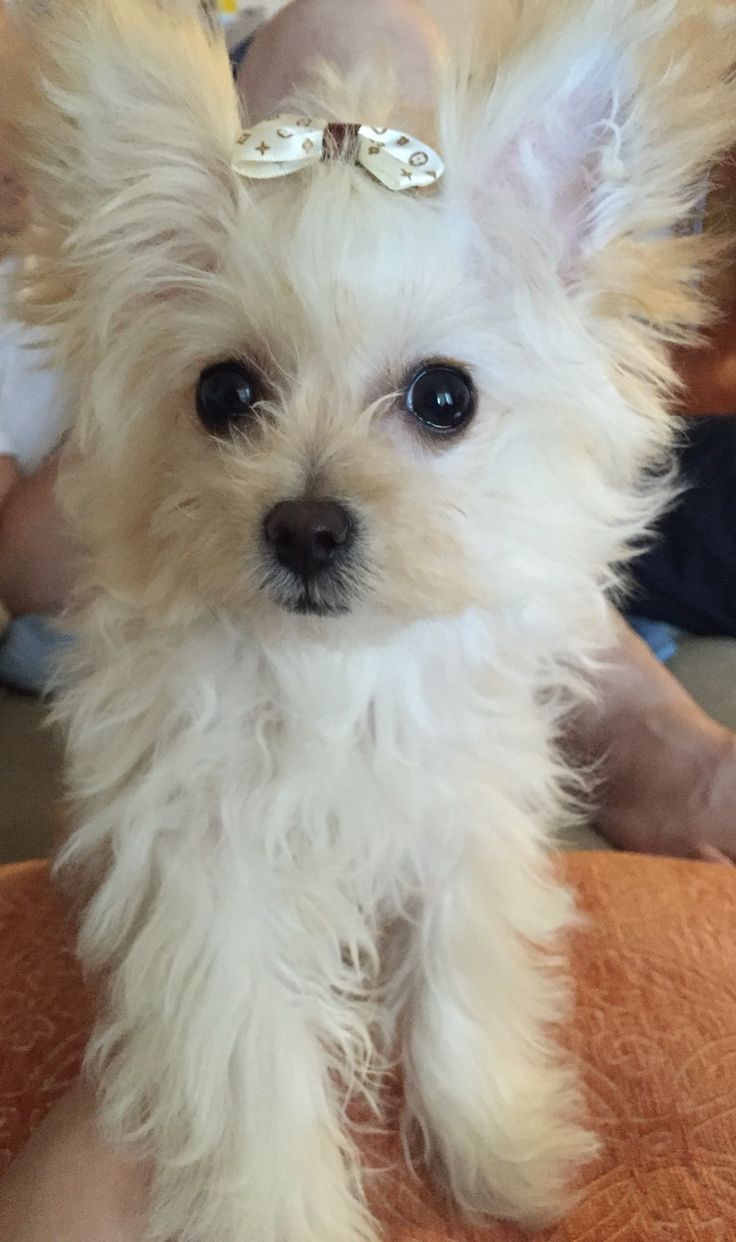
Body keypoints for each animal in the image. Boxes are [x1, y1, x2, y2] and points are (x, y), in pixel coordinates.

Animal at [2, 2, 729, 1242]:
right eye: (224, 394)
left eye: (444, 397)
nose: (304, 525)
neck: (337, 673)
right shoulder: (205, 878)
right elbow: (253, 1069)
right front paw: (275, 1212)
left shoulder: (467, 821)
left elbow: (462, 973)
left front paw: (499, 1148)